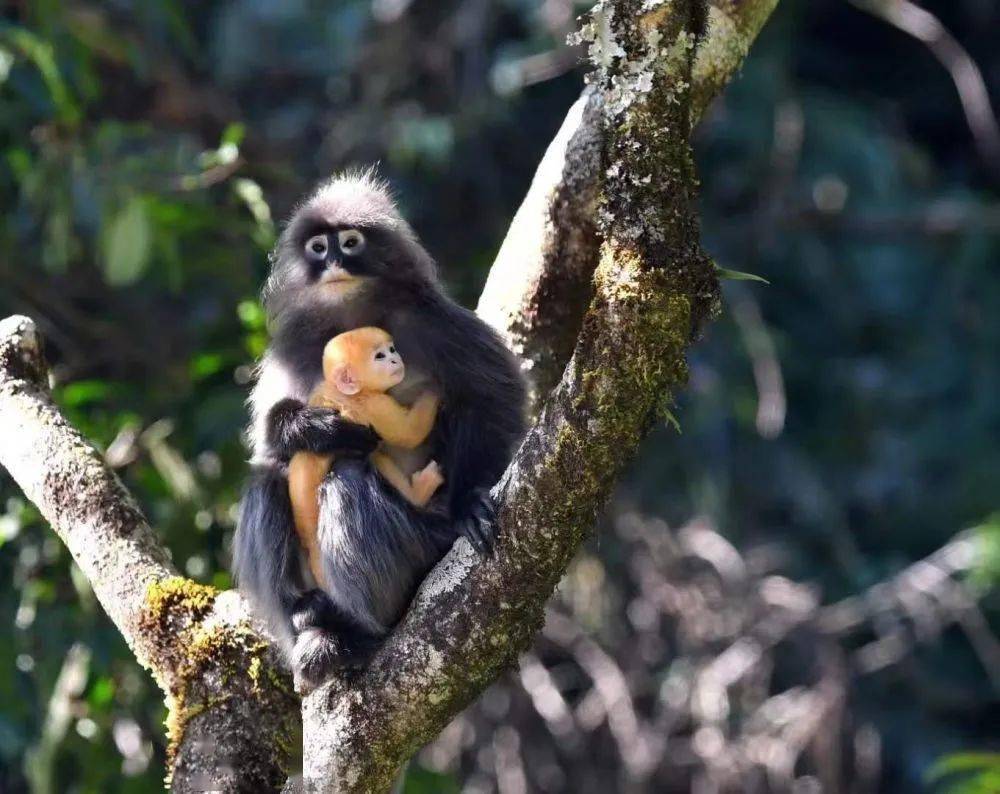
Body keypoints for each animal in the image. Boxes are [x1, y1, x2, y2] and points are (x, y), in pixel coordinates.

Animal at [290, 324, 446, 584]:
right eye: (380, 356)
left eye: (391, 349)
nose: (395, 358)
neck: (341, 390)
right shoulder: (373, 405)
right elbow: (409, 433)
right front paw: (434, 389)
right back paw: (419, 492)